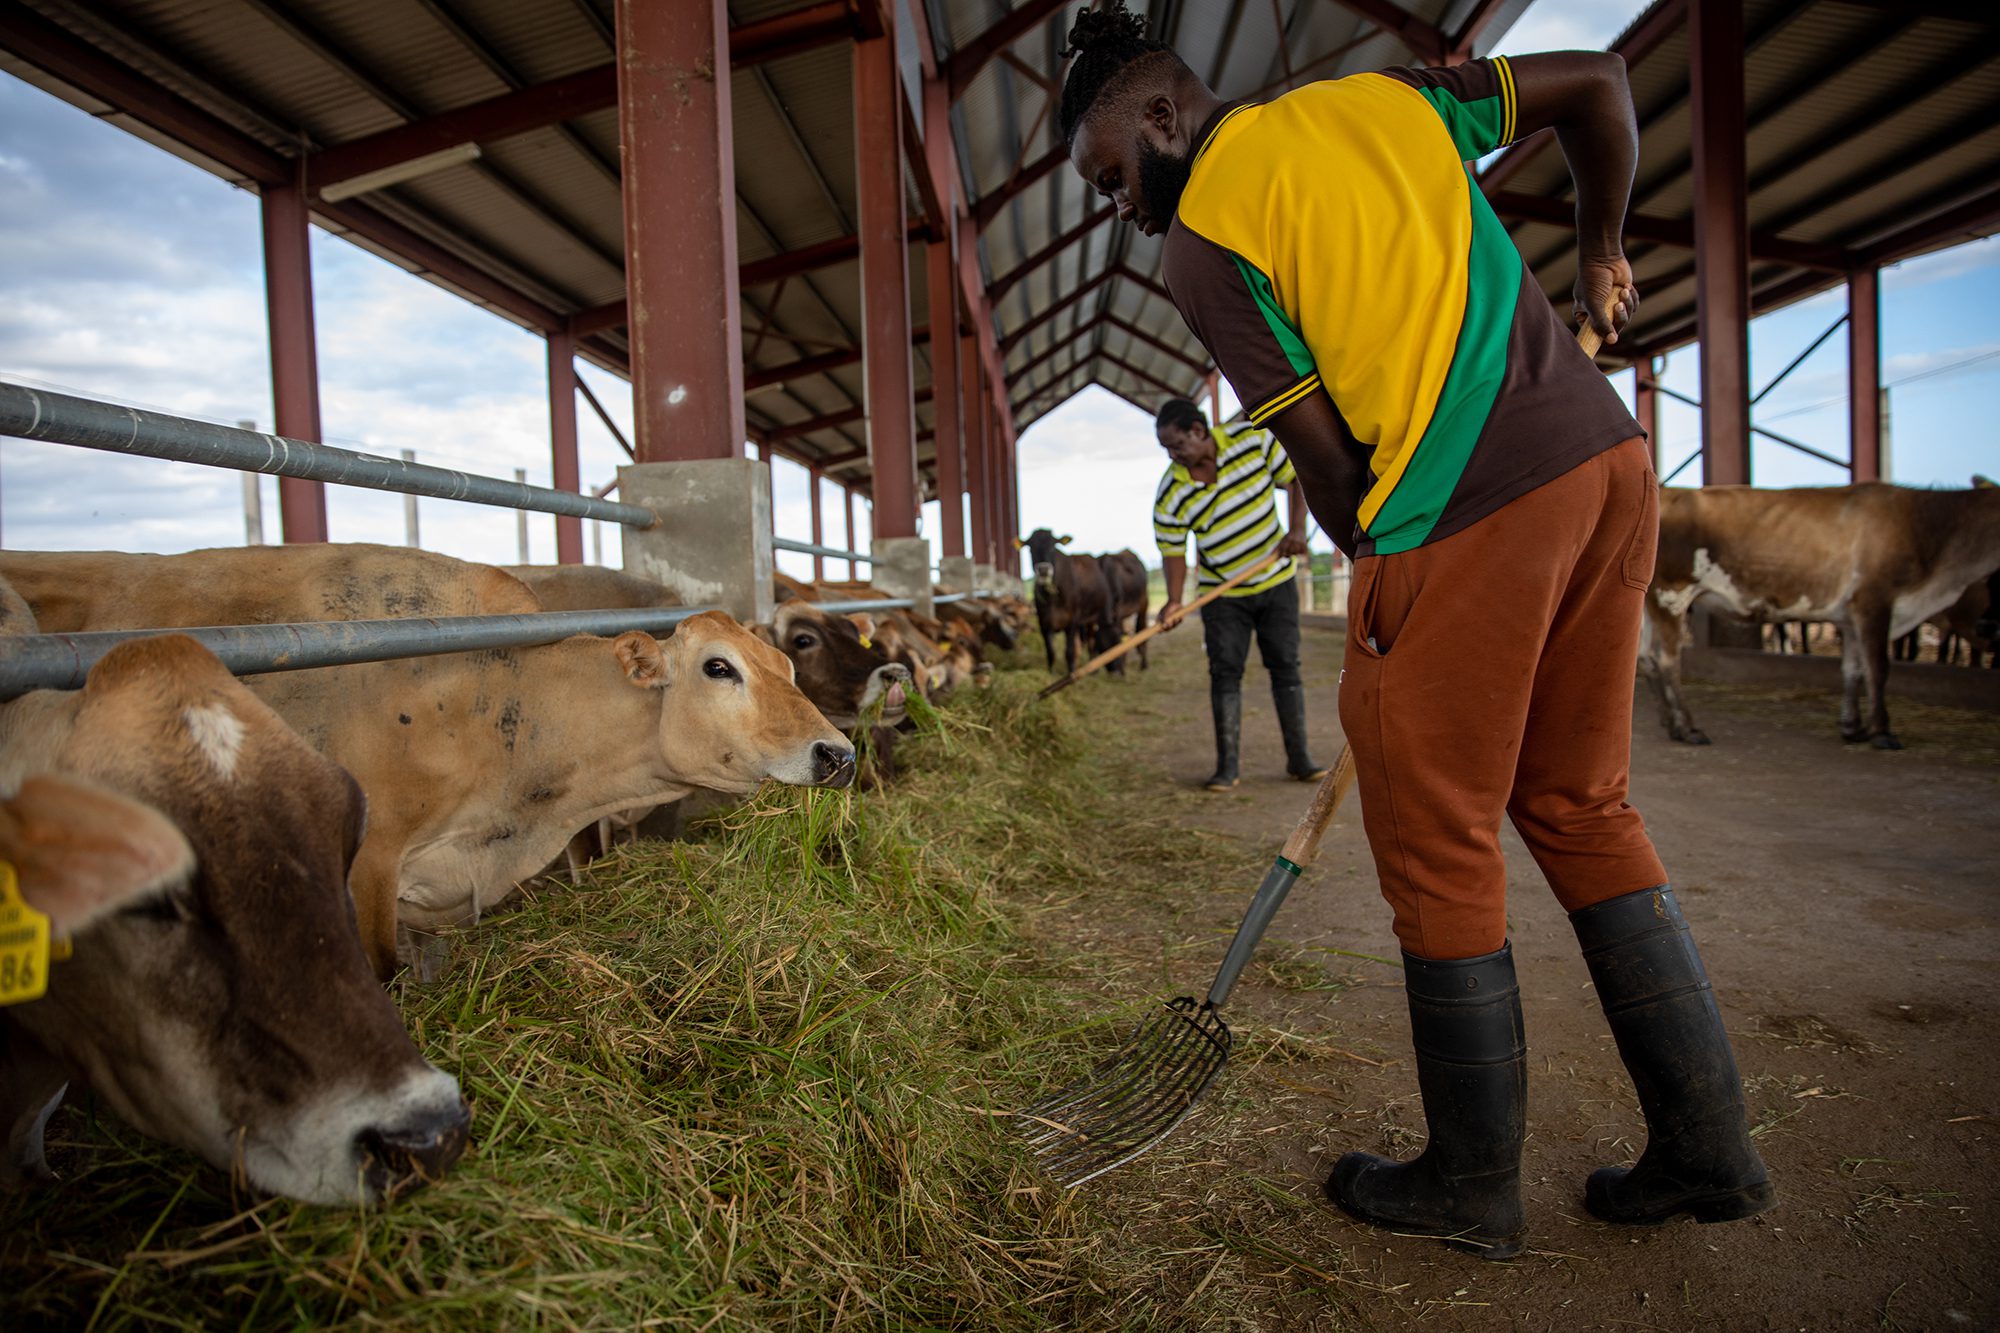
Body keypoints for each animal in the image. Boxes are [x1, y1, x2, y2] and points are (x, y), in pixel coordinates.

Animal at [1640, 480, 2000, 748]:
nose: (1986, 625)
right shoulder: (1874, 601)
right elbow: (1878, 668)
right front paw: (1882, 731)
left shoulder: (1850, 617)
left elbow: (1853, 669)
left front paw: (1853, 727)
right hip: (1672, 594)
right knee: (1667, 659)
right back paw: (1688, 727)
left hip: (1649, 601)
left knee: (1645, 657)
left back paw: (1670, 723)